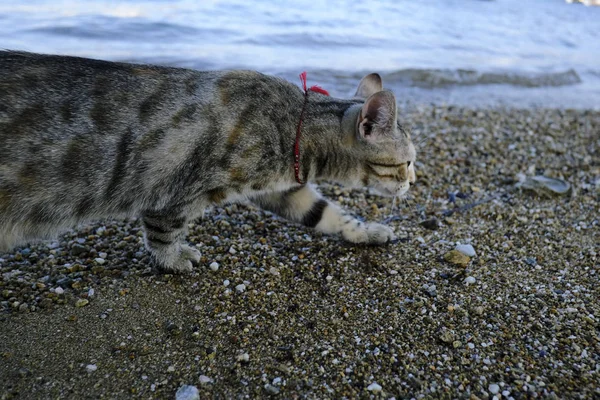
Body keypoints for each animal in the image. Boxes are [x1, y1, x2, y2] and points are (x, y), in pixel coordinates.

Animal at [1, 51, 418, 274]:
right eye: (407, 163)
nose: (414, 182)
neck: (295, 127)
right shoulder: (176, 189)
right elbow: (163, 229)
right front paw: (172, 259)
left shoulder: (283, 187)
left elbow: (327, 214)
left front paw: (366, 231)